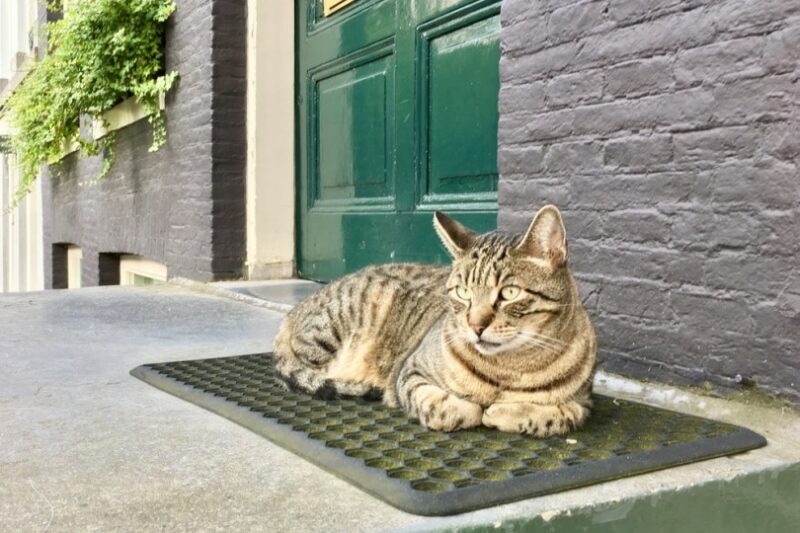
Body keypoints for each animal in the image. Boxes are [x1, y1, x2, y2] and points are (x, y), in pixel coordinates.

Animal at [274, 206, 592, 434]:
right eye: (463, 292)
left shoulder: (583, 403)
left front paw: (506, 412)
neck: (507, 370)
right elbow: (443, 407)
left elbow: (558, 415)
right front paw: (475, 410)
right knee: (297, 373)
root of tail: (295, 311)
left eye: (509, 292)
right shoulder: (410, 372)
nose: (476, 326)